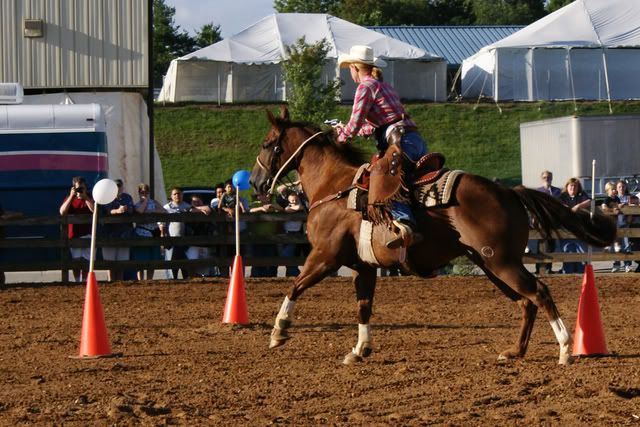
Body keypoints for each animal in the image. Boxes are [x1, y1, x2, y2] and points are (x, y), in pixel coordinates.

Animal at [249, 106, 616, 365]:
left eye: (267, 144)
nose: (254, 182)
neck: (334, 187)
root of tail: (508, 191)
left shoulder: (325, 256)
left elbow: (295, 286)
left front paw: (279, 331)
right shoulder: (363, 267)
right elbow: (364, 307)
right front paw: (360, 348)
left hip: (501, 262)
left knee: (539, 292)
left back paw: (566, 349)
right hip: (491, 264)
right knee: (527, 302)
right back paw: (515, 352)